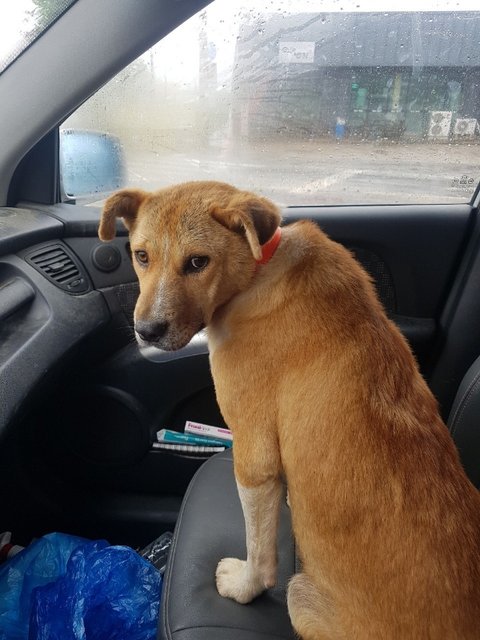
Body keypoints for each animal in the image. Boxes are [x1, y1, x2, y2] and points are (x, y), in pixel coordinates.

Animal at [99, 181, 480, 639]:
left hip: (300, 593)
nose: (147, 331)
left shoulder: (253, 455)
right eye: (141, 256)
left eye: (197, 262)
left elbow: (259, 547)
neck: (259, 268)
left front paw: (244, 586)